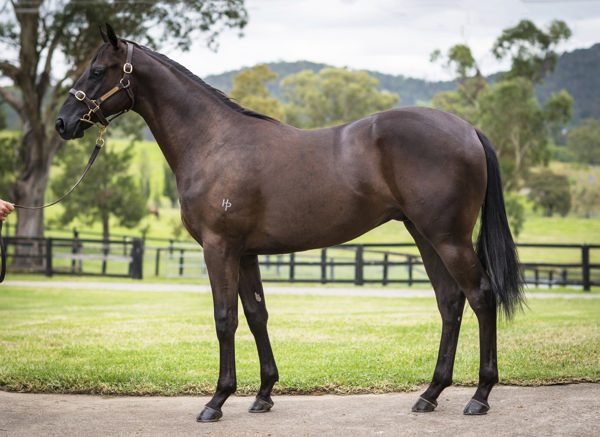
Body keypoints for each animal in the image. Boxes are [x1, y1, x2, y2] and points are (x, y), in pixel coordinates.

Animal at [57, 25, 524, 420]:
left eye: (96, 70)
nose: (63, 123)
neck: (213, 142)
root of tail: (468, 129)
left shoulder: (219, 248)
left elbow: (224, 318)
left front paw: (217, 400)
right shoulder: (245, 253)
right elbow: (256, 314)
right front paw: (264, 394)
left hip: (449, 238)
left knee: (481, 296)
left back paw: (480, 396)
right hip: (425, 235)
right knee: (450, 302)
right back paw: (430, 393)